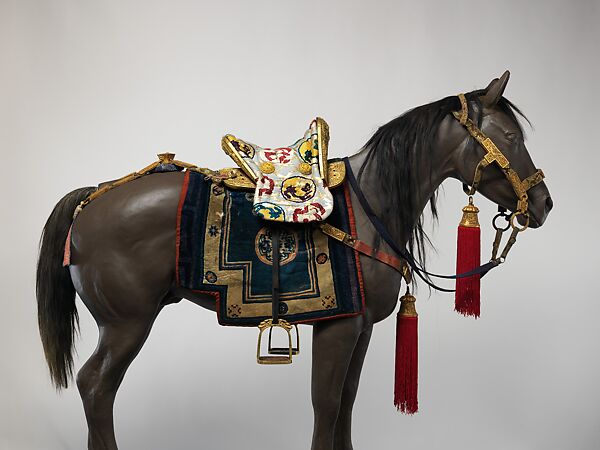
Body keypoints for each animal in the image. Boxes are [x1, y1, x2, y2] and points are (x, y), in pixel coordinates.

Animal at [37, 72, 552, 448]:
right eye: (509, 136)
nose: (545, 204)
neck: (370, 206)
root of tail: (91, 200)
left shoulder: (361, 328)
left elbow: (346, 404)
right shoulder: (338, 326)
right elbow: (326, 406)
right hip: (126, 324)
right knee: (96, 387)